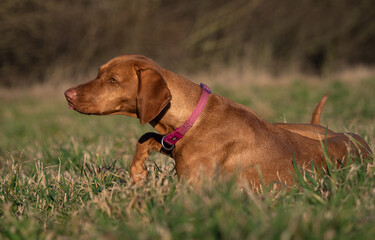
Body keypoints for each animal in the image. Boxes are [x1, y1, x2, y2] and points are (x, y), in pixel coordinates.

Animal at [65, 54, 374, 188]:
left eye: (113, 80)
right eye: (99, 72)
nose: (67, 94)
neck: (194, 117)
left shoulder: (194, 186)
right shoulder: (171, 140)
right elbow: (147, 137)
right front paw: (139, 171)